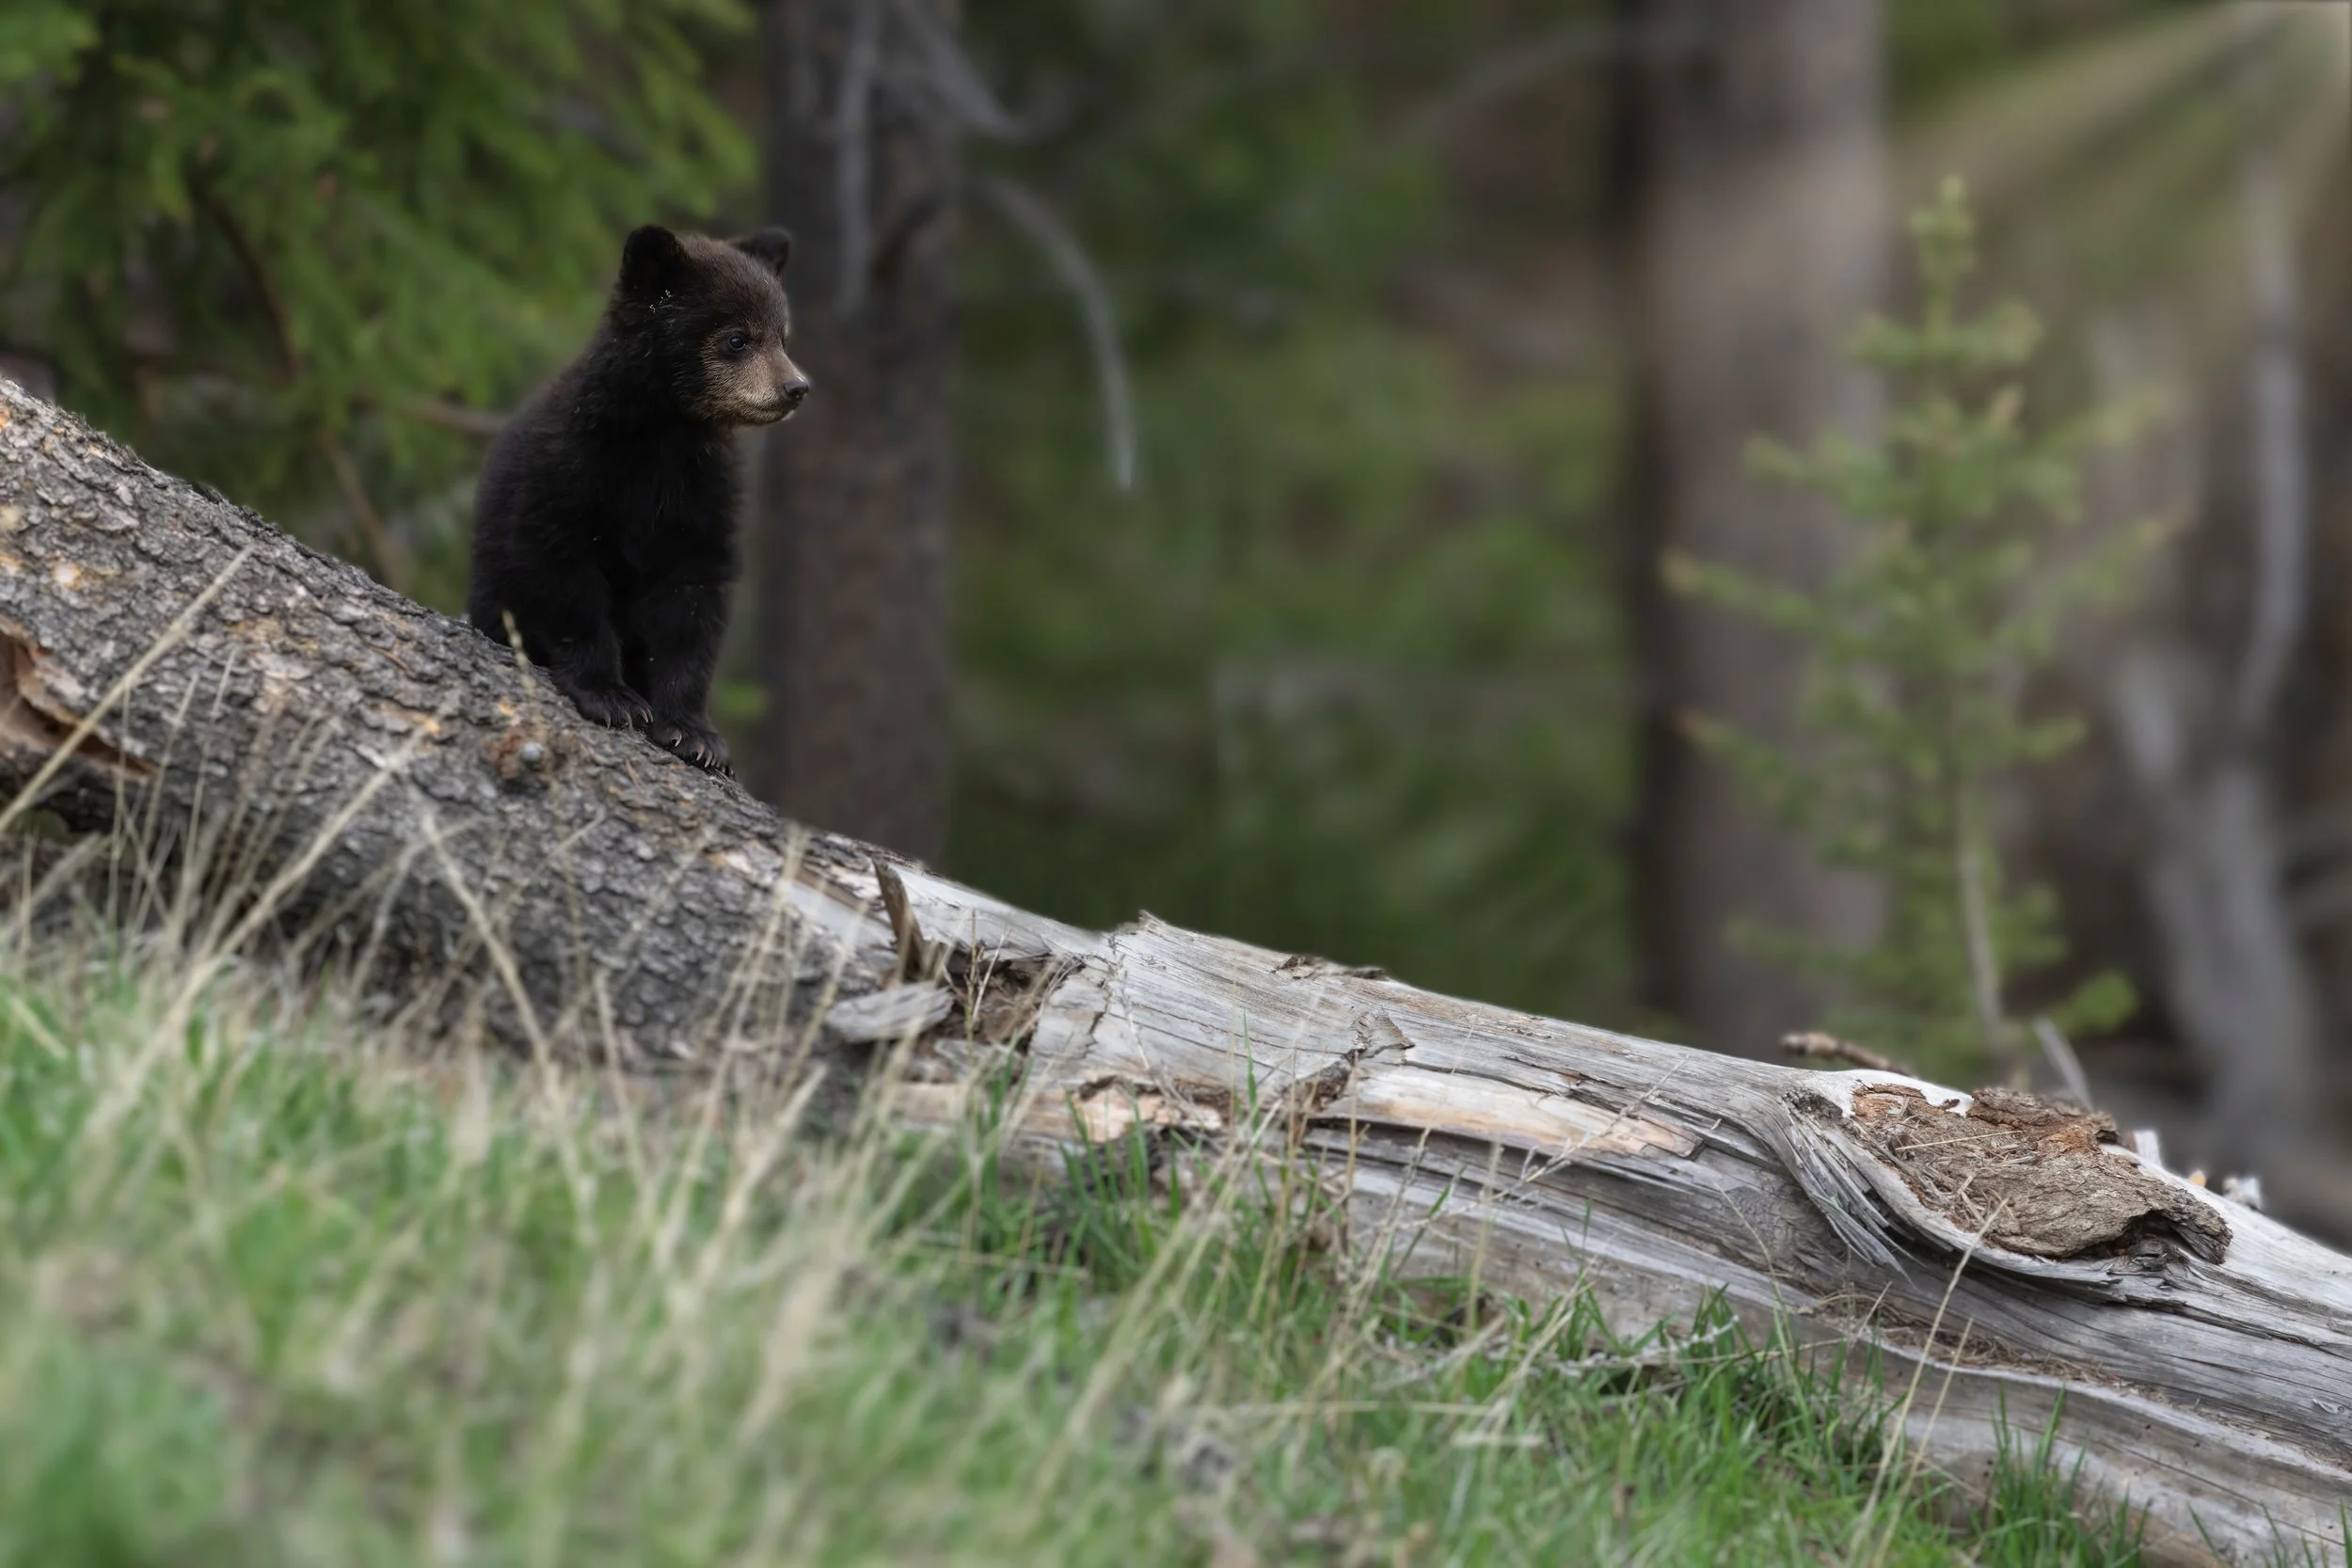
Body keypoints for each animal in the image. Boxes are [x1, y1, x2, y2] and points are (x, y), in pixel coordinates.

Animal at [466, 223, 810, 776]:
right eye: (737, 338)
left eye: (783, 335)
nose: (796, 387)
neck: (666, 437)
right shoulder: (570, 470)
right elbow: (562, 573)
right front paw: (611, 697)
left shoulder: (704, 495)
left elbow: (693, 602)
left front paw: (695, 733)